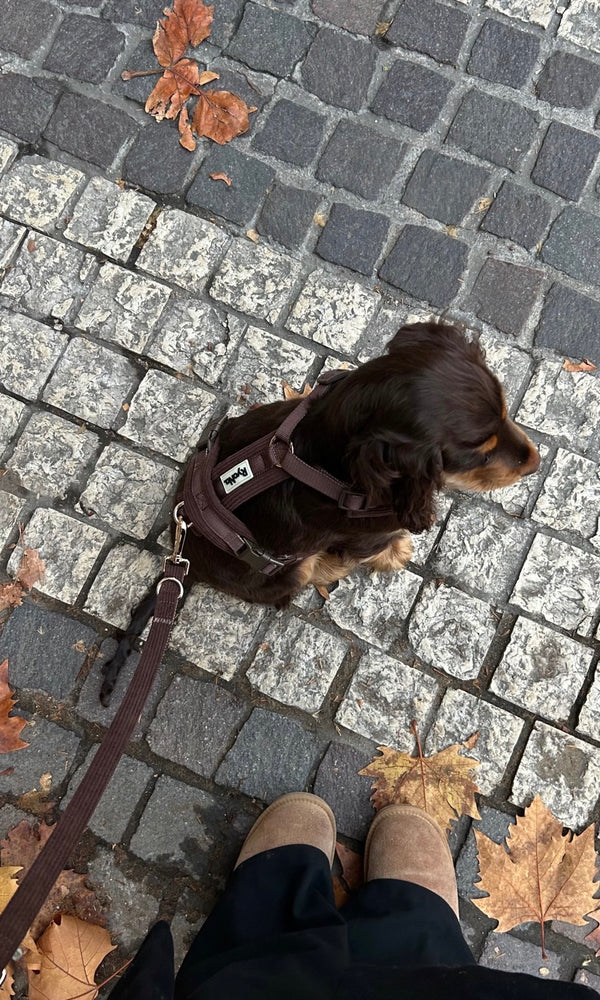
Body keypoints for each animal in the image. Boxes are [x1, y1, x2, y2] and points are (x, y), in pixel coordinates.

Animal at [99, 322, 539, 703]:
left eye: (505, 411)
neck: (324, 457)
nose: (535, 463)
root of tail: (185, 559)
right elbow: (380, 546)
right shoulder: (366, 532)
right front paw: (397, 552)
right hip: (290, 569)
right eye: (478, 454)